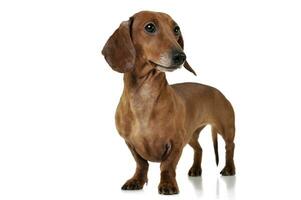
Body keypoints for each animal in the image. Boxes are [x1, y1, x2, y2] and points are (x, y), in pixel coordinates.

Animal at [101, 10, 234, 194]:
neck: (145, 97)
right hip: (191, 135)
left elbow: (167, 166)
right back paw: (195, 169)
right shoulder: (130, 143)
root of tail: (217, 90)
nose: (181, 56)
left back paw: (229, 169)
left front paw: (168, 184)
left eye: (176, 29)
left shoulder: (176, 143)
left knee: (230, 147)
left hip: (225, 128)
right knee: (199, 148)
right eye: (150, 27)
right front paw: (136, 180)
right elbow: (141, 164)